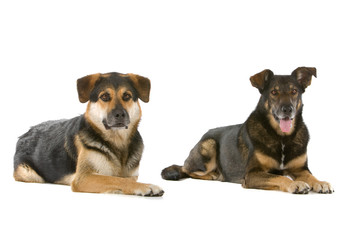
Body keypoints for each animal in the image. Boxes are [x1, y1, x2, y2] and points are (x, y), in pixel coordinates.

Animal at [162, 67, 334, 193]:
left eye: (294, 91)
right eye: (274, 92)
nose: (288, 110)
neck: (282, 137)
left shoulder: (301, 169)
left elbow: (310, 176)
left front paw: (320, 182)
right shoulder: (252, 174)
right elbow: (279, 178)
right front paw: (295, 184)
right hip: (209, 145)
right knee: (187, 170)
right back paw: (213, 174)